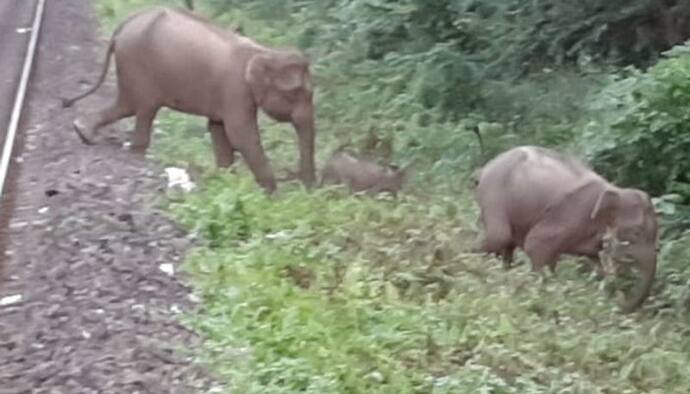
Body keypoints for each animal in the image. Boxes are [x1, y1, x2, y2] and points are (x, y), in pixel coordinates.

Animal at [61, 5, 314, 192]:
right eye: (296, 92)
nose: (307, 190)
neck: (265, 52)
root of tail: (125, 24)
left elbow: (218, 128)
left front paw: (224, 180)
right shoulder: (235, 89)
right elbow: (241, 133)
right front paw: (273, 195)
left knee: (127, 105)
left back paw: (83, 131)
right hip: (136, 62)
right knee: (142, 107)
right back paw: (134, 153)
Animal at [472, 146, 656, 312]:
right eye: (637, 231)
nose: (620, 298)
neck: (616, 189)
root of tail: (485, 168)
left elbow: (593, 263)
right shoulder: (570, 215)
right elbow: (535, 245)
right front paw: (543, 297)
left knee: (507, 244)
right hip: (494, 194)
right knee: (499, 237)